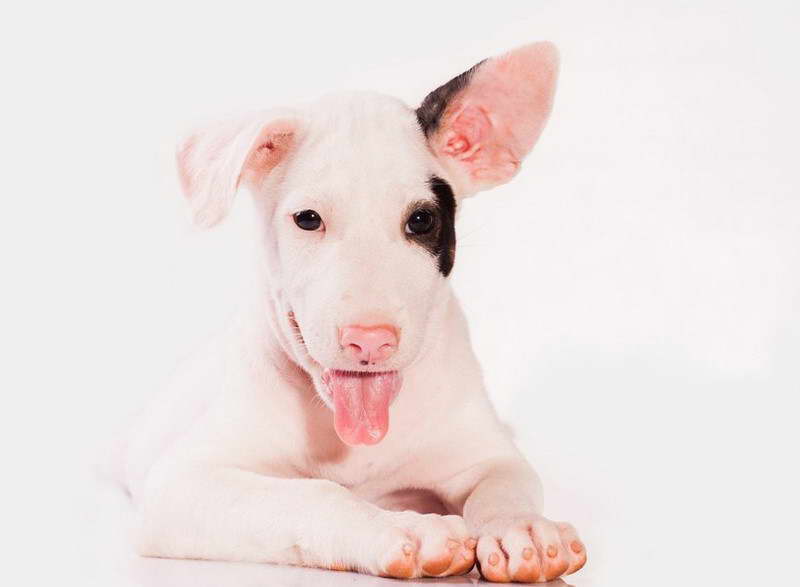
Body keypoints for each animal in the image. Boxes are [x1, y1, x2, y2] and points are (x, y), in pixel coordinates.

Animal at [126, 41, 588, 584]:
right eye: (308, 219)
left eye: (422, 221)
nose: (370, 340)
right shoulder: (182, 484)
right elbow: (314, 493)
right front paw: (402, 527)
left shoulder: (485, 453)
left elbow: (506, 481)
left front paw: (524, 530)